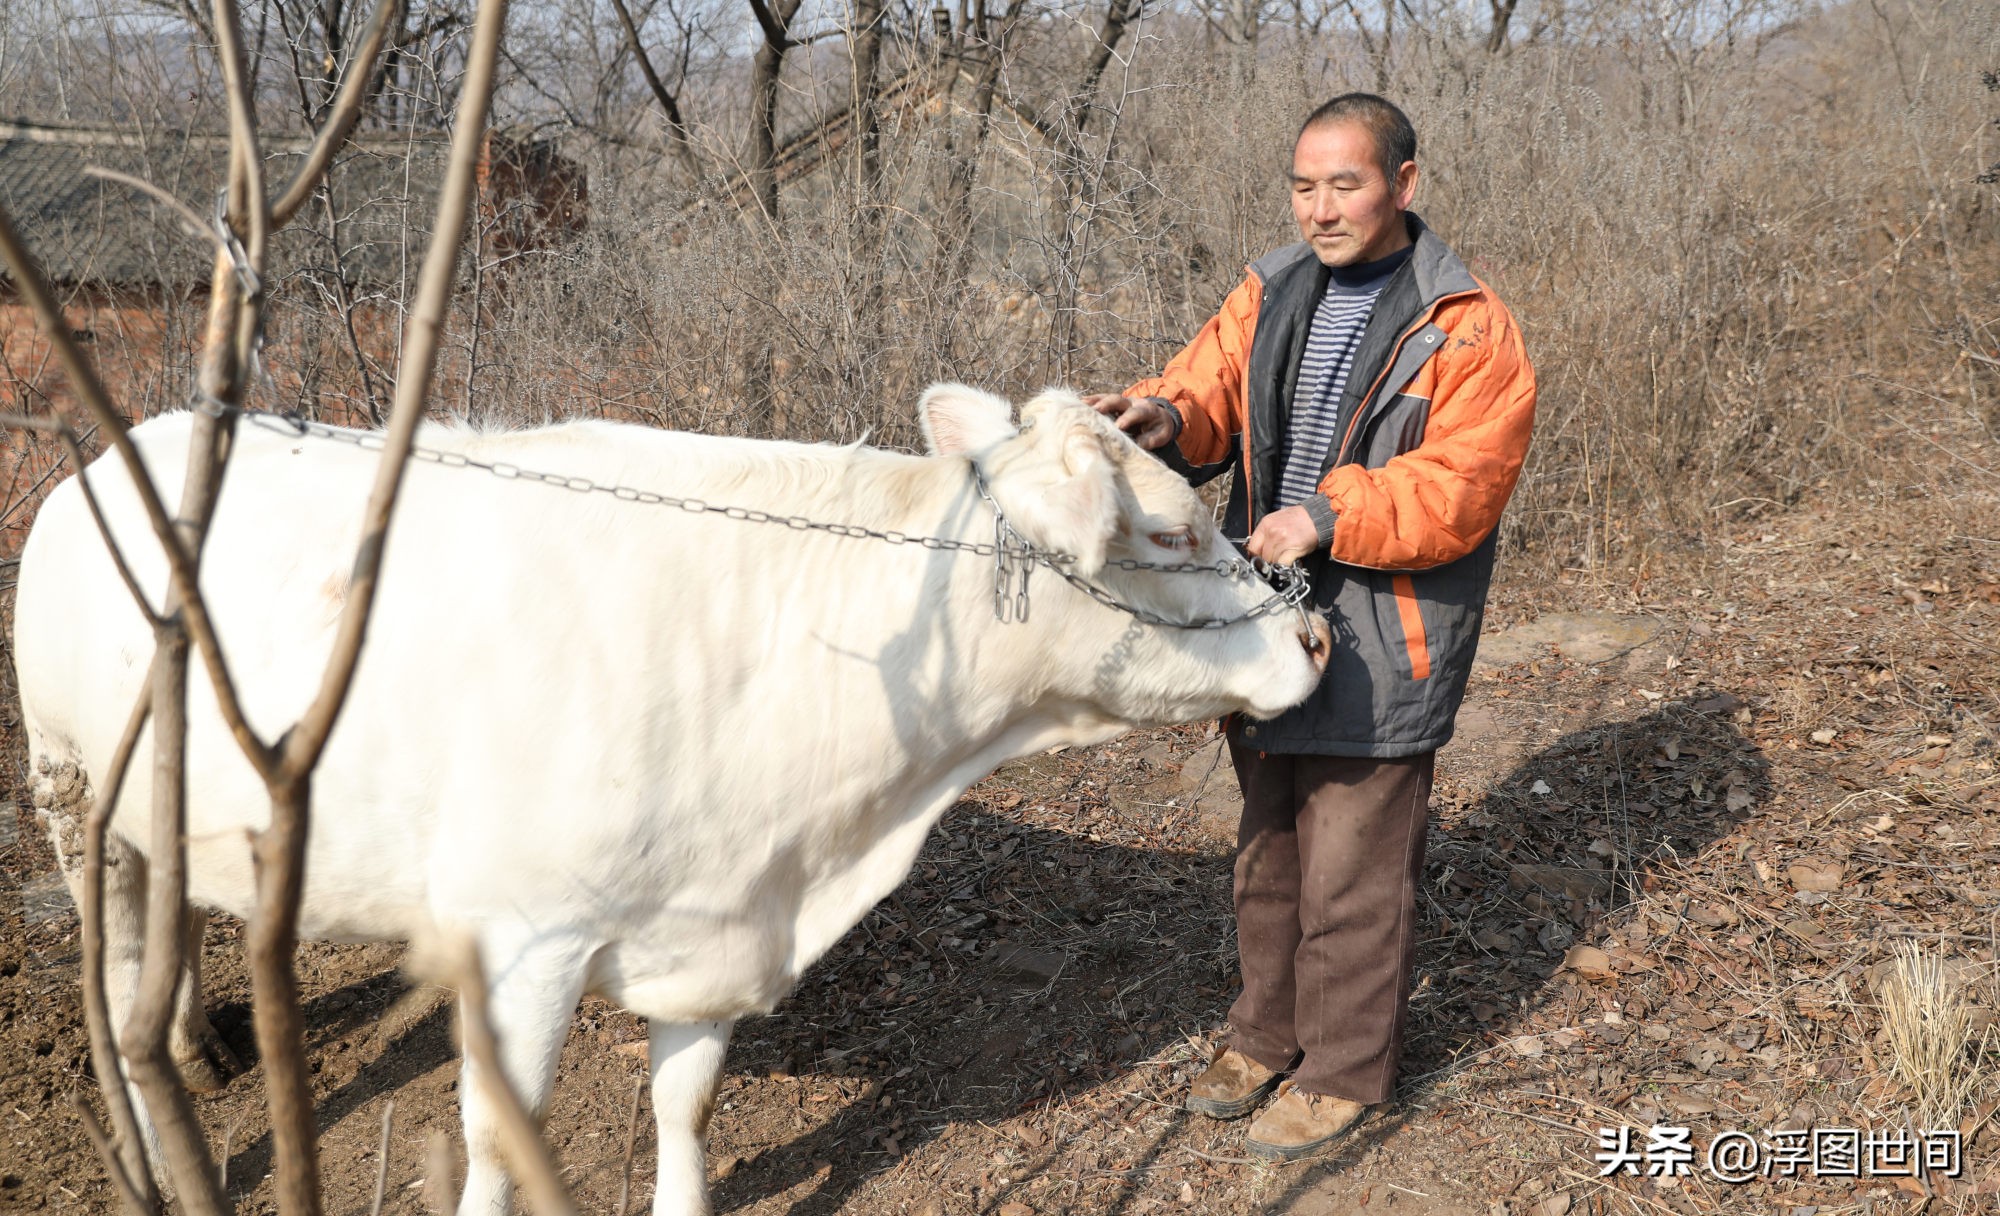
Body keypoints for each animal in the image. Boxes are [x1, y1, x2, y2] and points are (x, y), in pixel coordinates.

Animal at [19, 384, 1328, 1208]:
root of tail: (120, 445)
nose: (1313, 634)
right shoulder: (521, 940)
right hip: (70, 791)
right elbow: (498, 1139)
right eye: (1174, 530)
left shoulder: (714, 920)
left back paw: (198, 1045)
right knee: (112, 970)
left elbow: (686, 1110)